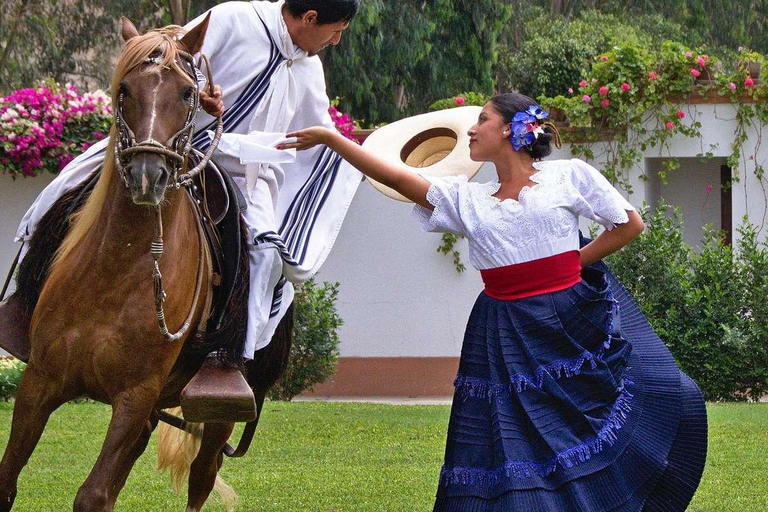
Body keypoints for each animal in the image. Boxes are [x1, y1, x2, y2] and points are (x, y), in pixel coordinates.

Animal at [0, 16, 292, 512]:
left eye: (187, 93)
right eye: (124, 90)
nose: (146, 176)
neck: (114, 273)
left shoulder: (135, 397)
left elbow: (92, 494)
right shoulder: (40, 381)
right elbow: (9, 479)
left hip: (216, 413)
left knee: (201, 477)